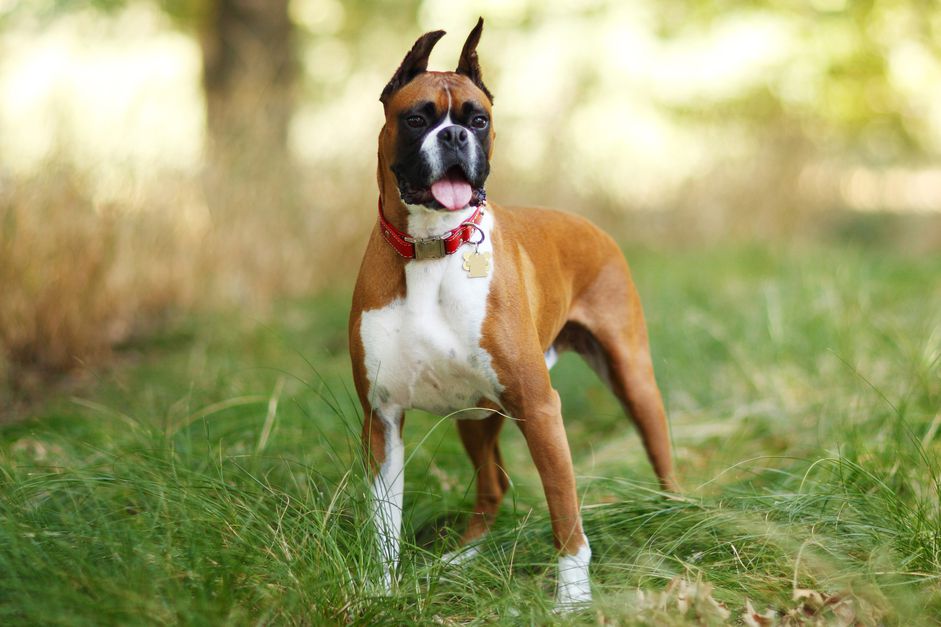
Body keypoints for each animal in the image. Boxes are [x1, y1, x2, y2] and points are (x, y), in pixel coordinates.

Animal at [346, 18, 676, 608]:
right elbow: (384, 525)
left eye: (478, 118)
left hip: (632, 379)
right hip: (476, 416)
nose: (454, 136)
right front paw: (380, 594)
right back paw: (457, 561)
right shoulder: (382, 419)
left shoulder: (540, 409)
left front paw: (573, 601)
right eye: (416, 118)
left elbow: (565, 512)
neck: (432, 249)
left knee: (661, 456)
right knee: (493, 485)